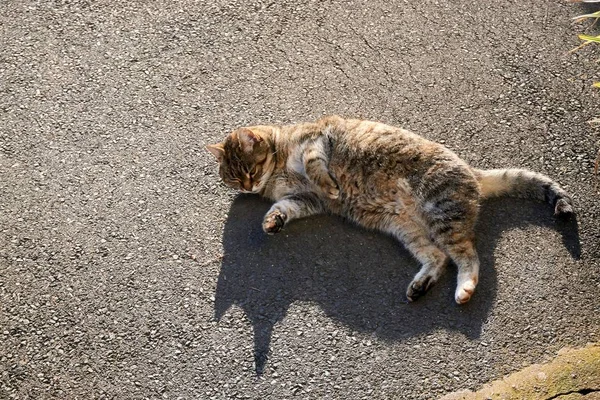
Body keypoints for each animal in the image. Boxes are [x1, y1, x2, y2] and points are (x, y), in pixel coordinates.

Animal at [207, 115, 576, 304]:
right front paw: (272, 221)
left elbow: (315, 166)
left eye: (249, 170)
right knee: (438, 258)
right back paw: (420, 286)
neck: (280, 169)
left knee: (468, 257)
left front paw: (330, 184)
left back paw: (465, 289)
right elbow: (284, 207)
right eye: (234, 177)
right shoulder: (306, 200)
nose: (248, 187)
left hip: (442, 217)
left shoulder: (316, 142)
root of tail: (473, 172)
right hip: (407, 230)